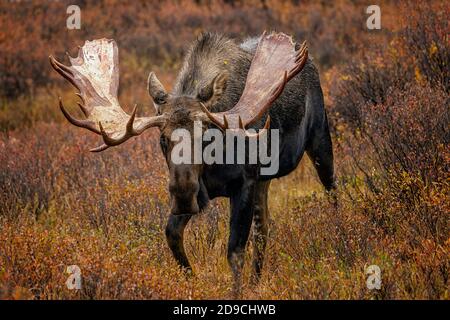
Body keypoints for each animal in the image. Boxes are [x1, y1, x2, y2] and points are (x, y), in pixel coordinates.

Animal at [50, 31, 334, 296]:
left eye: (206, 135)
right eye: (163, 139)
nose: (183, 193)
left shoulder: (244, 183)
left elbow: (234, 252)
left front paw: (235, 292)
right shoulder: (206, 191)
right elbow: (172, 236)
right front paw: (192, 281)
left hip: (320, 140)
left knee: (331, 191)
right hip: (264, 180)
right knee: (263, 227)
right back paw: (256, 281)